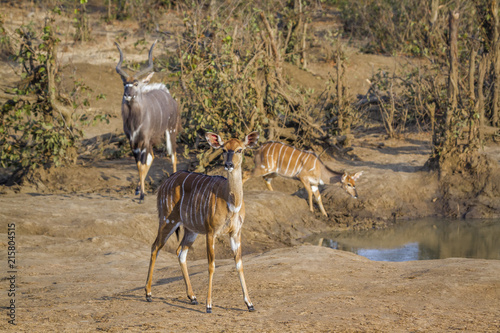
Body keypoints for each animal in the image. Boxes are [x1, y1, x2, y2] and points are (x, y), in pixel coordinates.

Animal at [115, 41, 180, 202]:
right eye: (124, 84)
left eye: (136, 84)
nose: (127, 95)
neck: (135, 122)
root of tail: (169, 96)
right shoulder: (133, 142)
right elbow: (139, 164)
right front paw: (140, 191)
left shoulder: (143, 140)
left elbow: (142, 164)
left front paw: (143, 195)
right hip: (151, 141)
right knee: (152, 157)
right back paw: (138, 189)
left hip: (170, 132)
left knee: (173, 156)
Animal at [145, 132, 260, 312]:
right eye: (224, 149)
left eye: (240, 149)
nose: (228, 165)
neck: (231, 202)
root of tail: (166, 181)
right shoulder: (211, 232)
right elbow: (211, 265)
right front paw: (209, 305)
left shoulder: (235, 232)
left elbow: (239, 264)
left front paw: (249, 304)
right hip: (167, 219)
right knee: (155, 247)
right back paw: (148, 294)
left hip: (191, 230)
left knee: (180, 252)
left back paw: (192, 297)